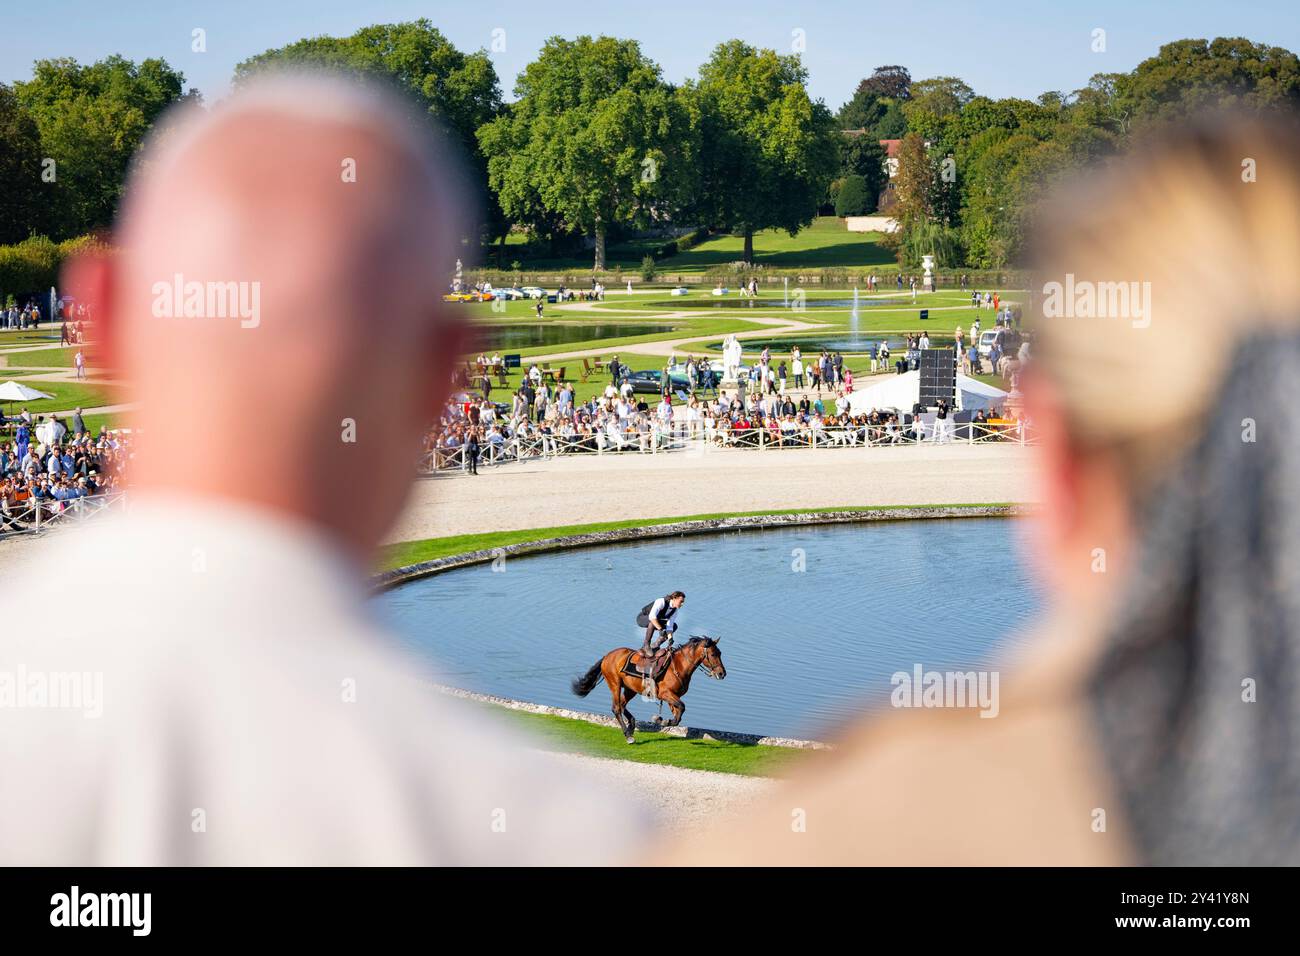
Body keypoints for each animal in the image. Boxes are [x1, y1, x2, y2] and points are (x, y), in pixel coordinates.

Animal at [574, 639, 728, 743]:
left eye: (720, 653)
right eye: (713, 654)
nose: (722, 674)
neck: (679, 666)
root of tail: (607, 656)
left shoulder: (673, 697)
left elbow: (678, 715)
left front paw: (665, 721)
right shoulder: (666, 694)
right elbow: (682, 707)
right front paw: (662, 721)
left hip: (630, 689)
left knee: (622, 705)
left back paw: (631, 726)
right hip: (615, 684)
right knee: (616, 707)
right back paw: (628, 735)